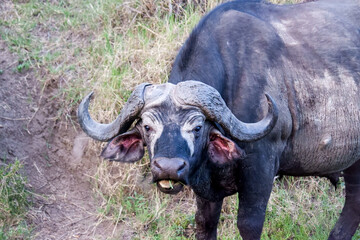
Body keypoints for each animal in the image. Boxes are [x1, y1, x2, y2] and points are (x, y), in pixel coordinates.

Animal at [77, 0, 358, 238]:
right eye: (147, 126)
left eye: (197, 127)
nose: (168, 168)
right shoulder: (206, 190)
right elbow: (205, 223)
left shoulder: (261, 170)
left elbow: (248, 224)